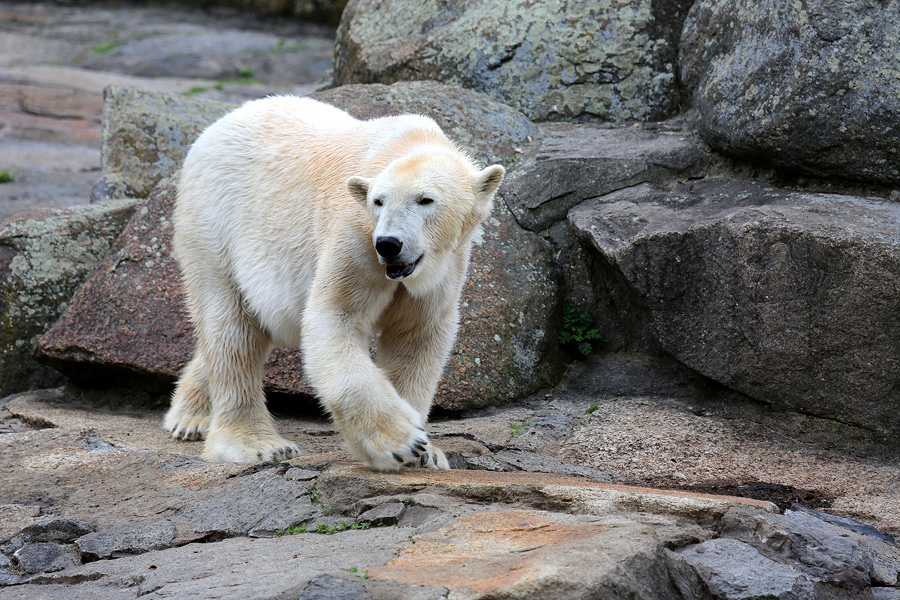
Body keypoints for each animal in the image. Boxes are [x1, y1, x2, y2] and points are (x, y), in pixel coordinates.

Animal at [165, 94, 502, 472]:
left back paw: (190, 415)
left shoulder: (445, 265)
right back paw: (255, 444)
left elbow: (416, 336)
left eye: (425, 199)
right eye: (378, 201)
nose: (389, 243)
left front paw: (427, 452)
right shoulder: (354, 237)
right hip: (214, 226)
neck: (404, 141)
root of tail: (214, 127)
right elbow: (334, 317)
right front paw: (401, 442)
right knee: (230, 328)